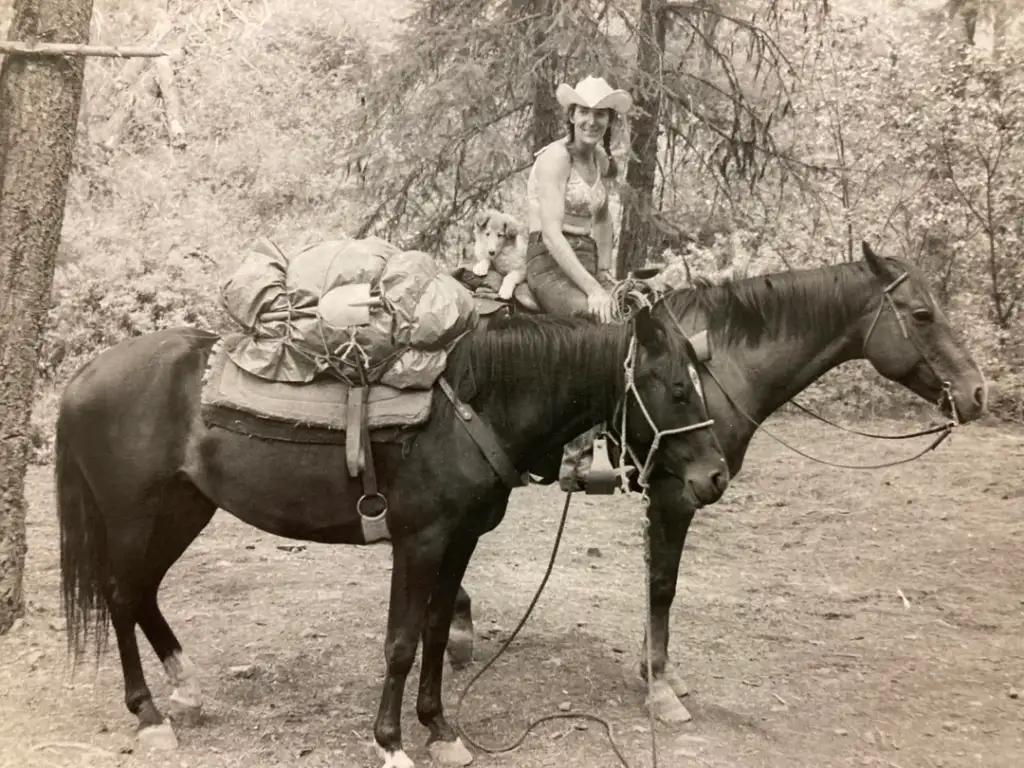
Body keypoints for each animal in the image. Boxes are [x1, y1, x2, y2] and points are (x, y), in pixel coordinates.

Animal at [56, 303, 729, 765]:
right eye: (677, 389)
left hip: (183, 509)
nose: (715, 477)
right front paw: (391, 742)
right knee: (120, 596)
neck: (469, 412)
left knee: (143, 594)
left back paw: (187, 688)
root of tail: (84, 376)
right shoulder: (419, 542)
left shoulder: (460, 541)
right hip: (133, 516)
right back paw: (149, 715)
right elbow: (401, 643)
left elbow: (435, 631)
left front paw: (440, 729)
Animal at [446, 243, 983, 724]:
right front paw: (660, 687)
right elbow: (662, 585)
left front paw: (660, 672)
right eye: (922, 314)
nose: (978, 392)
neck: (716, 367)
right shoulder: (676, 492)